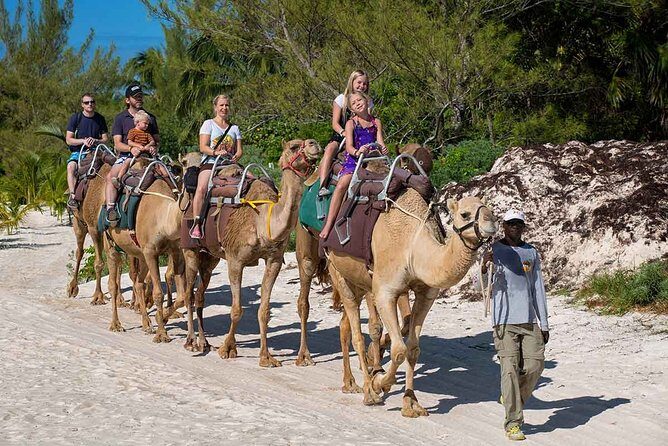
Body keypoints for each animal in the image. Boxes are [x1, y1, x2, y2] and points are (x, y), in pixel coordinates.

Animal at [182, 139, 322, 368]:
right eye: (293, 146)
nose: (314, 144)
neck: (262, 221)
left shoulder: (274, 260)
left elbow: (264, 310)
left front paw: (266, 357)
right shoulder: (235, 259)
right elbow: (236, 309)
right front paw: (228, 349)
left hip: (211, 257)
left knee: (200, 293)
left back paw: (204, 342)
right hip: (190, 249)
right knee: (188, 293)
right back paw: (191, 342)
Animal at [326, 191, 497, 415]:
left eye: (490, 210)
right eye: (465, 214)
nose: (492, 223)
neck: (414, 248)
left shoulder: (426, 294)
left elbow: (413, 349)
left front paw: (411, 403)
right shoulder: (385, 292)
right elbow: (399, 350)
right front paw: (379, 384)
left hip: (359, 281)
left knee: (345, 324)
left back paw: (350, 382)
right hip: (336, 268)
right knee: (356, 334)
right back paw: (367, 391)